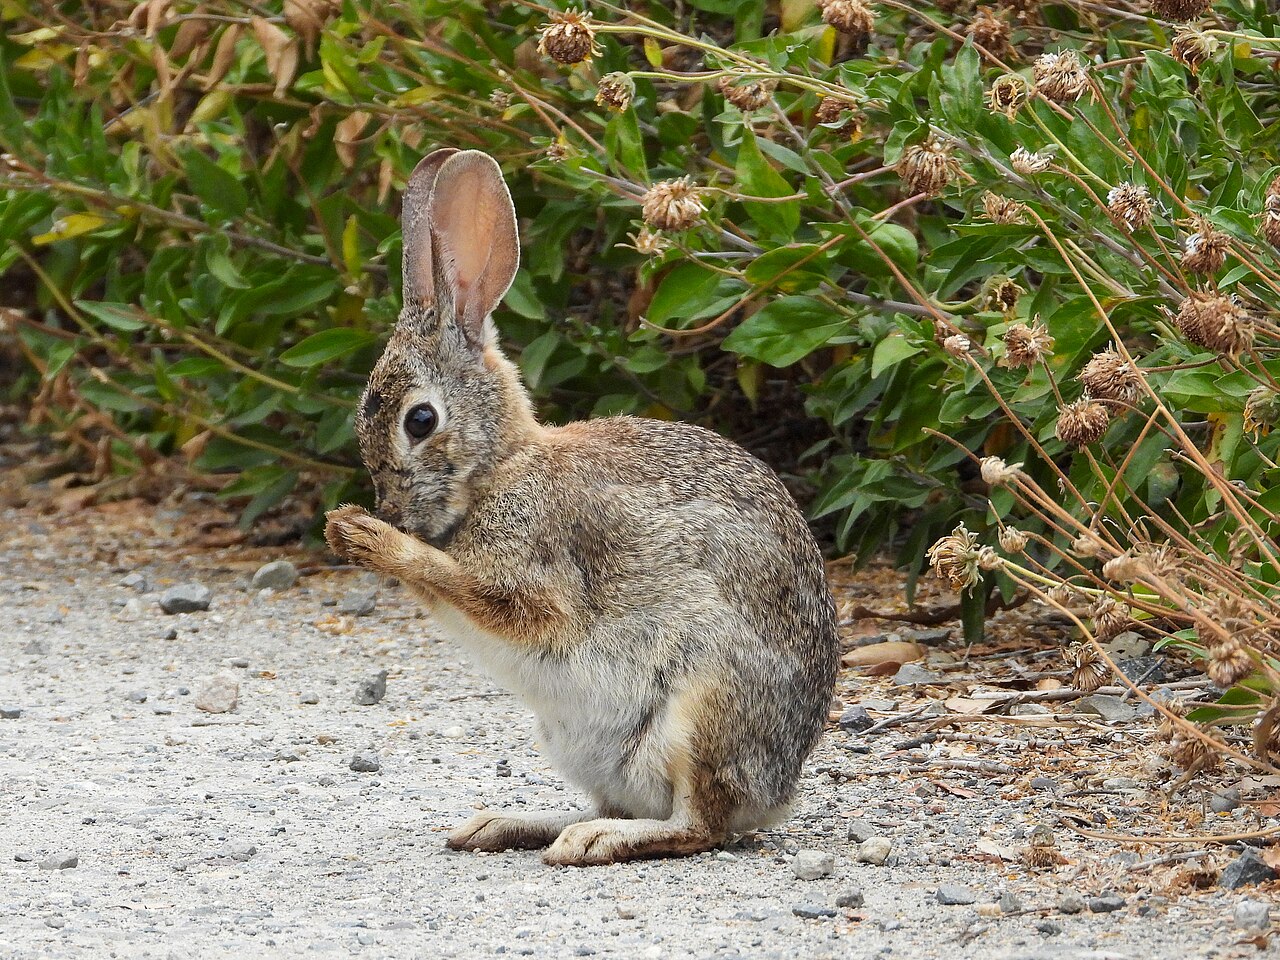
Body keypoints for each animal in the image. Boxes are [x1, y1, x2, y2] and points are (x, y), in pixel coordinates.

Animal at [324, 147, 839, 867]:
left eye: (419, 420)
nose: (394, 510)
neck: (502, 467)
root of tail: (776, 793)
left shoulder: (542, 576)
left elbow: (483, 595)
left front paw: (366, 536)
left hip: (705, 706)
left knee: (699, 824)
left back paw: (593, 841)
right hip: (579, 742)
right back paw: (503, 825)